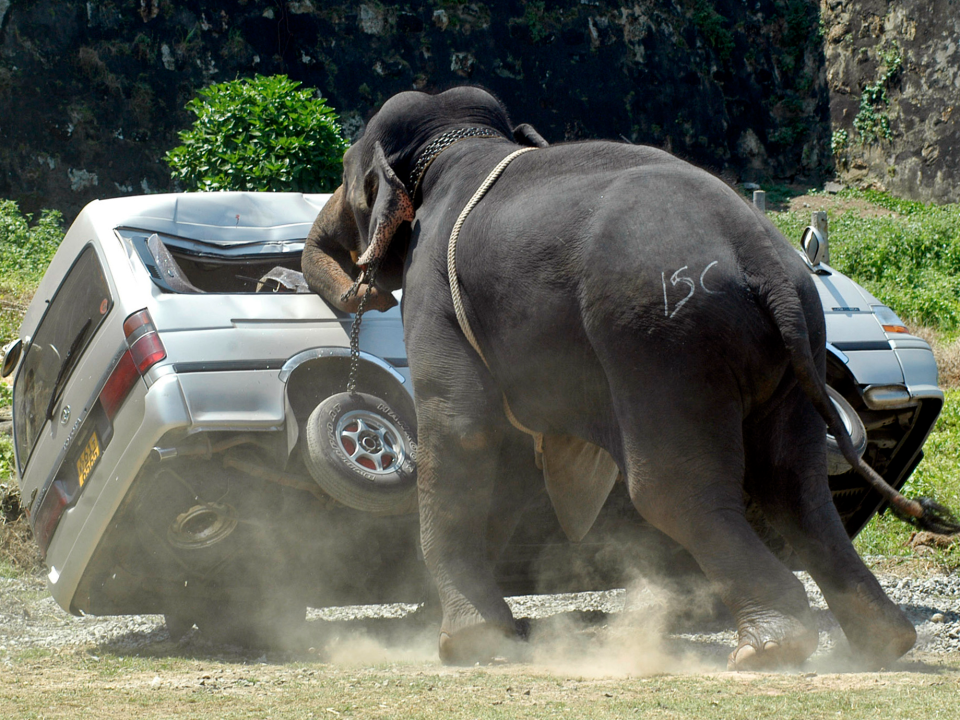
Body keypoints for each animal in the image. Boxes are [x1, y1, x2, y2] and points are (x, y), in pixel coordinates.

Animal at [304, 88, 956, 668]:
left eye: (348, 173)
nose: (359, 287)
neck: (465, 143)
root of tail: (764, 260)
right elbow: (511, 456)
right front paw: (491, 634)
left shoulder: (433, 289)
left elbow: (464, 430)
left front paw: (465, 647)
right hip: (796, 348)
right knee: (795, 480)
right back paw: (883, 642)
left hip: (661, 342)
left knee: (673, 486)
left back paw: (772, 647)